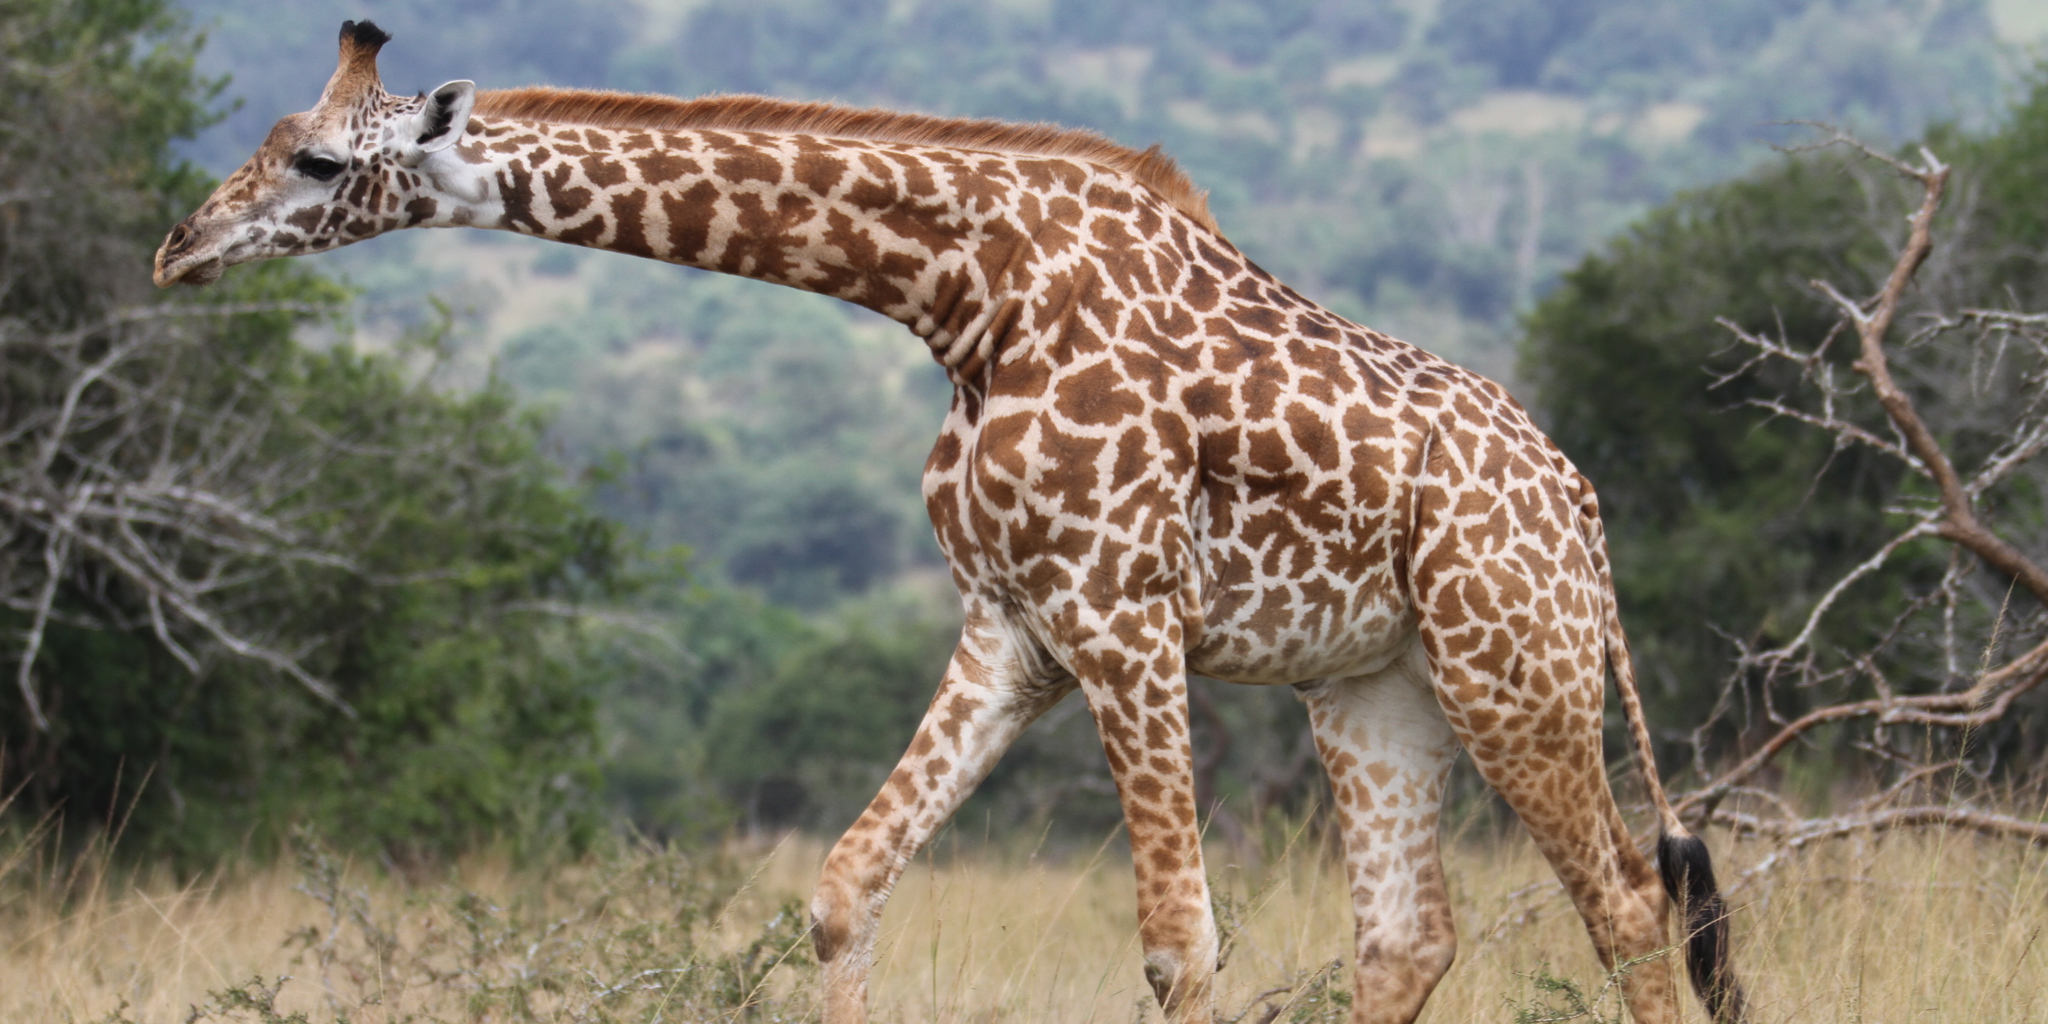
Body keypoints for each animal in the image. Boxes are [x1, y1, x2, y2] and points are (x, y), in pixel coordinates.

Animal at [155, 22, 1746, 1024]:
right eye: (271, 137)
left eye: (314, 161)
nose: (179, 248)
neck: (964, 292)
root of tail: (1579, 503)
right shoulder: (1014, 628)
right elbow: (843, 890)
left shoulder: (1121, 616)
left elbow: (1179, 947)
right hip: (1376, 685)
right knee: (1409, 940)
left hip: (1511, 660)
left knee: (1623, 904)